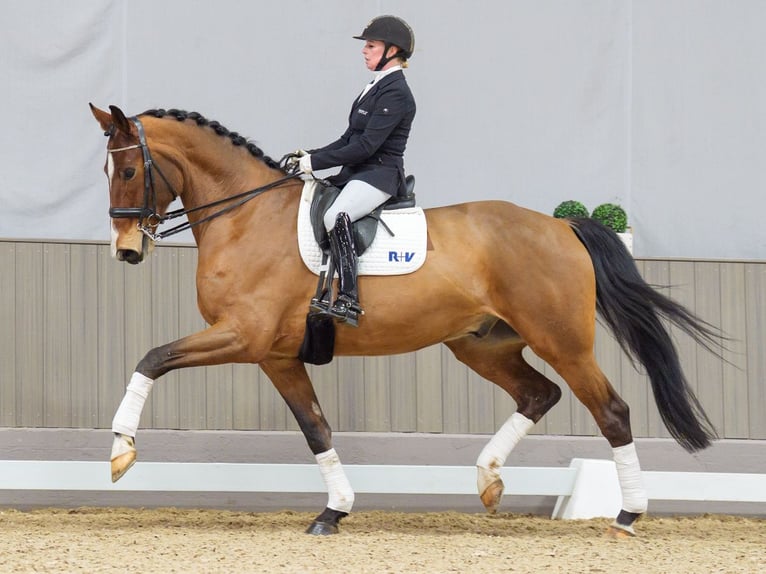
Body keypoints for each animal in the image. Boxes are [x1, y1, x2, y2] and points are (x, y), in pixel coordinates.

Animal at [91, 104, 728, 540]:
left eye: (129, 172)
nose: (125, 250)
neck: (247, 215)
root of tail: (561, 225)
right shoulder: (276, 355)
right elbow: (316, 429)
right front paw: (333, 512)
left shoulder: (244, 336)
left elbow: (151, 357)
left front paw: (121, 451)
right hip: (482, 346)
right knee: (538, 394)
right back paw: (488, 480)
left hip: (563, 341)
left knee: (611, 411)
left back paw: (628, 513)